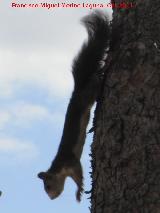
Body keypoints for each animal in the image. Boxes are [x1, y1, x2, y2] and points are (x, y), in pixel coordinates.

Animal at [37, 10, 110, 202]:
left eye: (48, 186)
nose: (51, 198)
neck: (58, 168)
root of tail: (77, 91)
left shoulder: (71, 162)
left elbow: (80, 176)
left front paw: (79, 192)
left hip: (88, 94)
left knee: (95, 84)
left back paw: (101, 75)